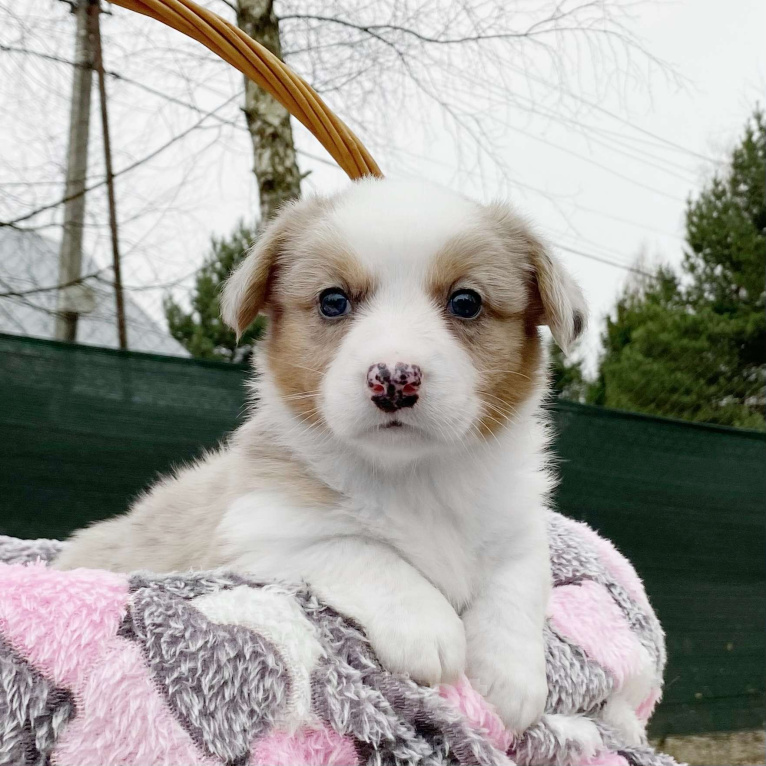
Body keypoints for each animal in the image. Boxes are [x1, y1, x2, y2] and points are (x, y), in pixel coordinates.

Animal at [55, 177, 588, 736]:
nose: (394, 378)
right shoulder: (265, 532)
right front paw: (429, 626)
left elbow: (515, 589)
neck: (415, 473)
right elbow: (365, 552)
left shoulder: (521, 532)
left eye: (466, 302)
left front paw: (511, 678)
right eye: (333, 301)